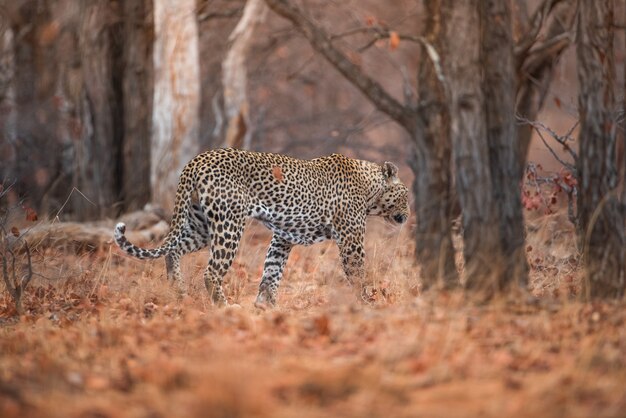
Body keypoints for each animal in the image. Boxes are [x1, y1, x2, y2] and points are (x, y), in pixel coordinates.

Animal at [115, 147, 410, 306]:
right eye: (406, 195)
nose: (407, 215)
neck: (371, 189)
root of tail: (197, 160)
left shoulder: (283, 238)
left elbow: (272, 271)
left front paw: (265, 307)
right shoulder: (351, 239)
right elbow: (358, 272)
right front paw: (366, 302)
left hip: (200, 224)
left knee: (172, 249)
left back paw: (178, 289)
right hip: (229, 223)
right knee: (211, 272)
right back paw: (224, 308)